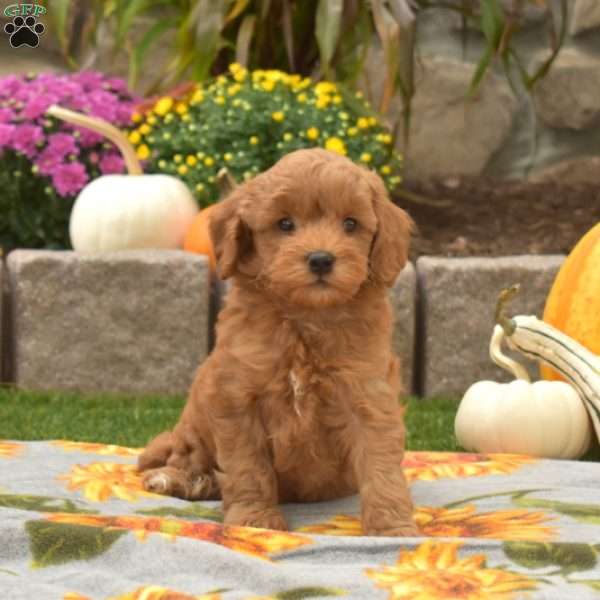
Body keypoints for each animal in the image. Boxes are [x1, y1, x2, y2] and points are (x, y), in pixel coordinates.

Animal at [137, 148, 418, 536]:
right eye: (285, 224)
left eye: (350, 224)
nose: (321, 259)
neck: (307, 318)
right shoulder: (238, 399)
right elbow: (248, 467)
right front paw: (254, 519)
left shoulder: (369, 396)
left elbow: (382, 467)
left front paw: (392, 528)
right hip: (196, 422)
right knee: (189, 459)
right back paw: (179, 480)